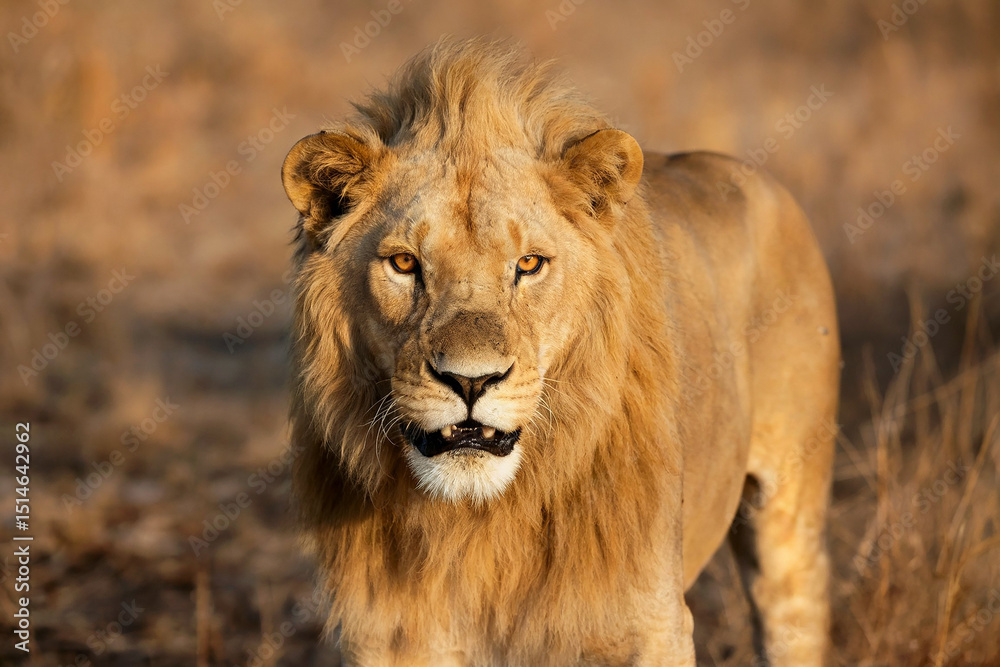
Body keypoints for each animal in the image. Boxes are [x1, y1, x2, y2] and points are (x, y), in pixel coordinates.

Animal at [281, 38, 839, 666]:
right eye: (404, 263)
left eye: (528, 264)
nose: (471, 382)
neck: (480, 522)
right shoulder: (389, 640)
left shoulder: (650, 627)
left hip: (789, 521)